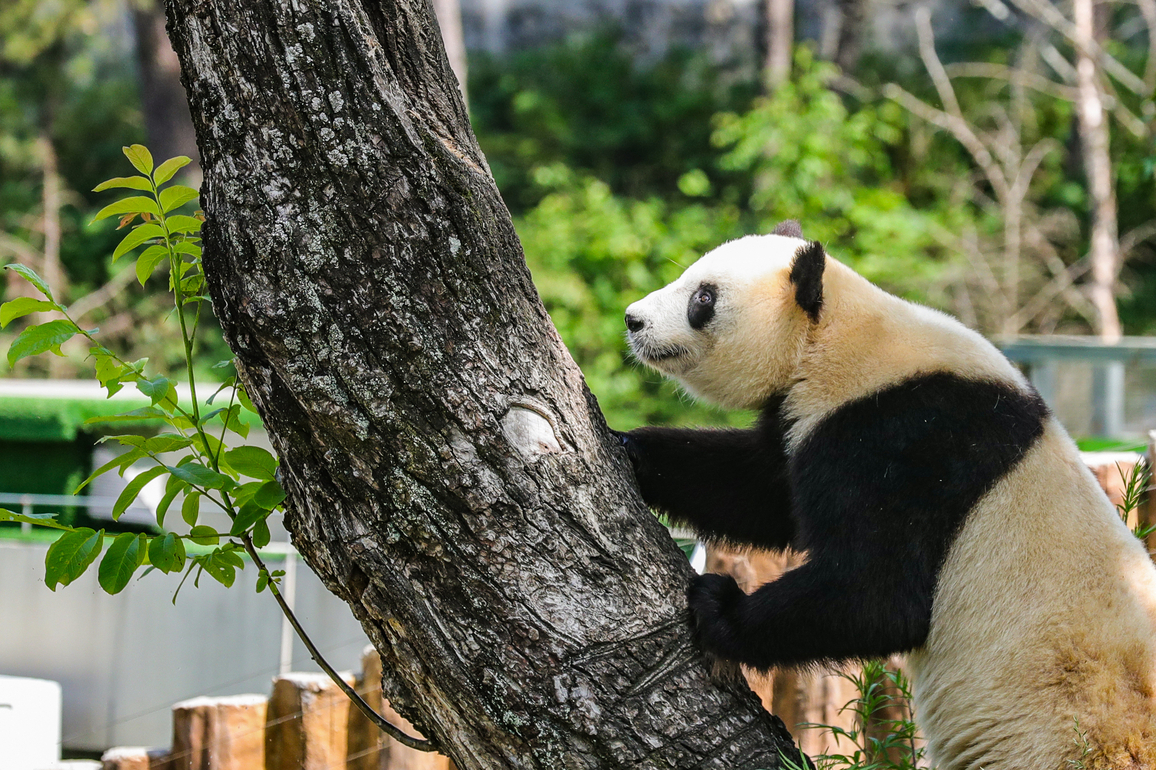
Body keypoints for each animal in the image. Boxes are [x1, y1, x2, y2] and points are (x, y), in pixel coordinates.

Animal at [616, 221, 1156, 770]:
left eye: (703, 297)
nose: (633, 319)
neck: (837, 333)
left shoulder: (903, 436)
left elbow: (878, 592)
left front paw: (718, 606)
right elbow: (758, 490)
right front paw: (629, 449)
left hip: (1057, 737)